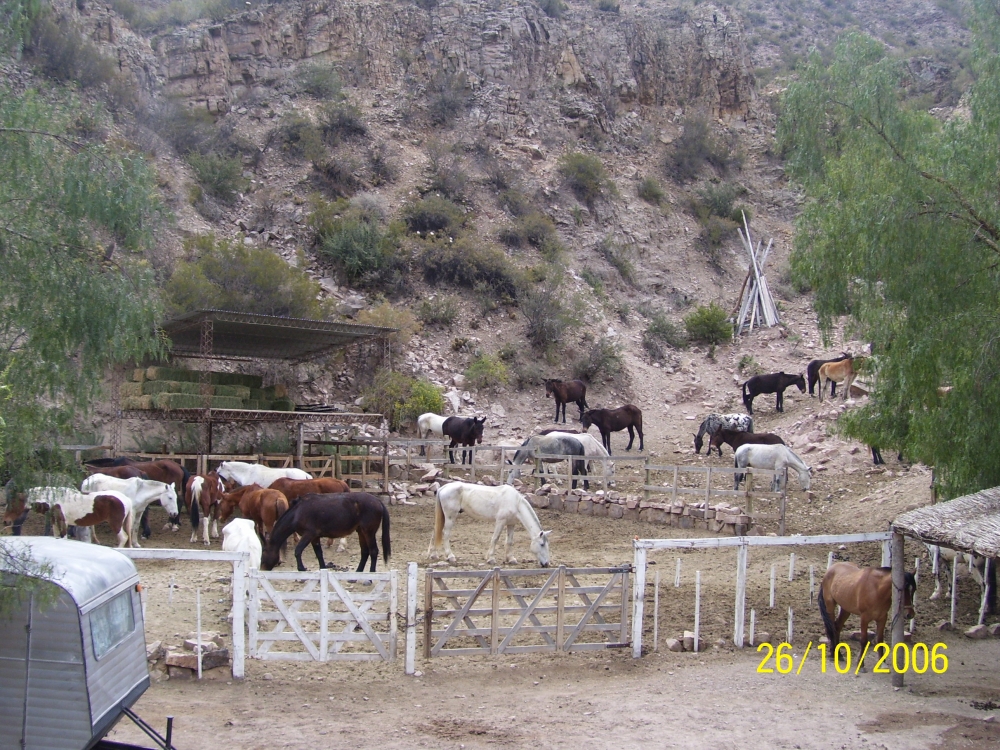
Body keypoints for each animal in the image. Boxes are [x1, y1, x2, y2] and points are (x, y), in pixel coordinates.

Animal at [260, 494, 388, 576]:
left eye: (263, 554)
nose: (262, 569)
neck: (298, 512)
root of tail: (378, 501)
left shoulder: (308, 535)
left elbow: (297, 551)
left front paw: (301, 569)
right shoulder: (315, 537)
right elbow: (319, 554)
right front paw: (322, 569)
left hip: (369, 532)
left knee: (373, 551)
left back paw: (370, 577)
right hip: (361, 532)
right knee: (365, 552)